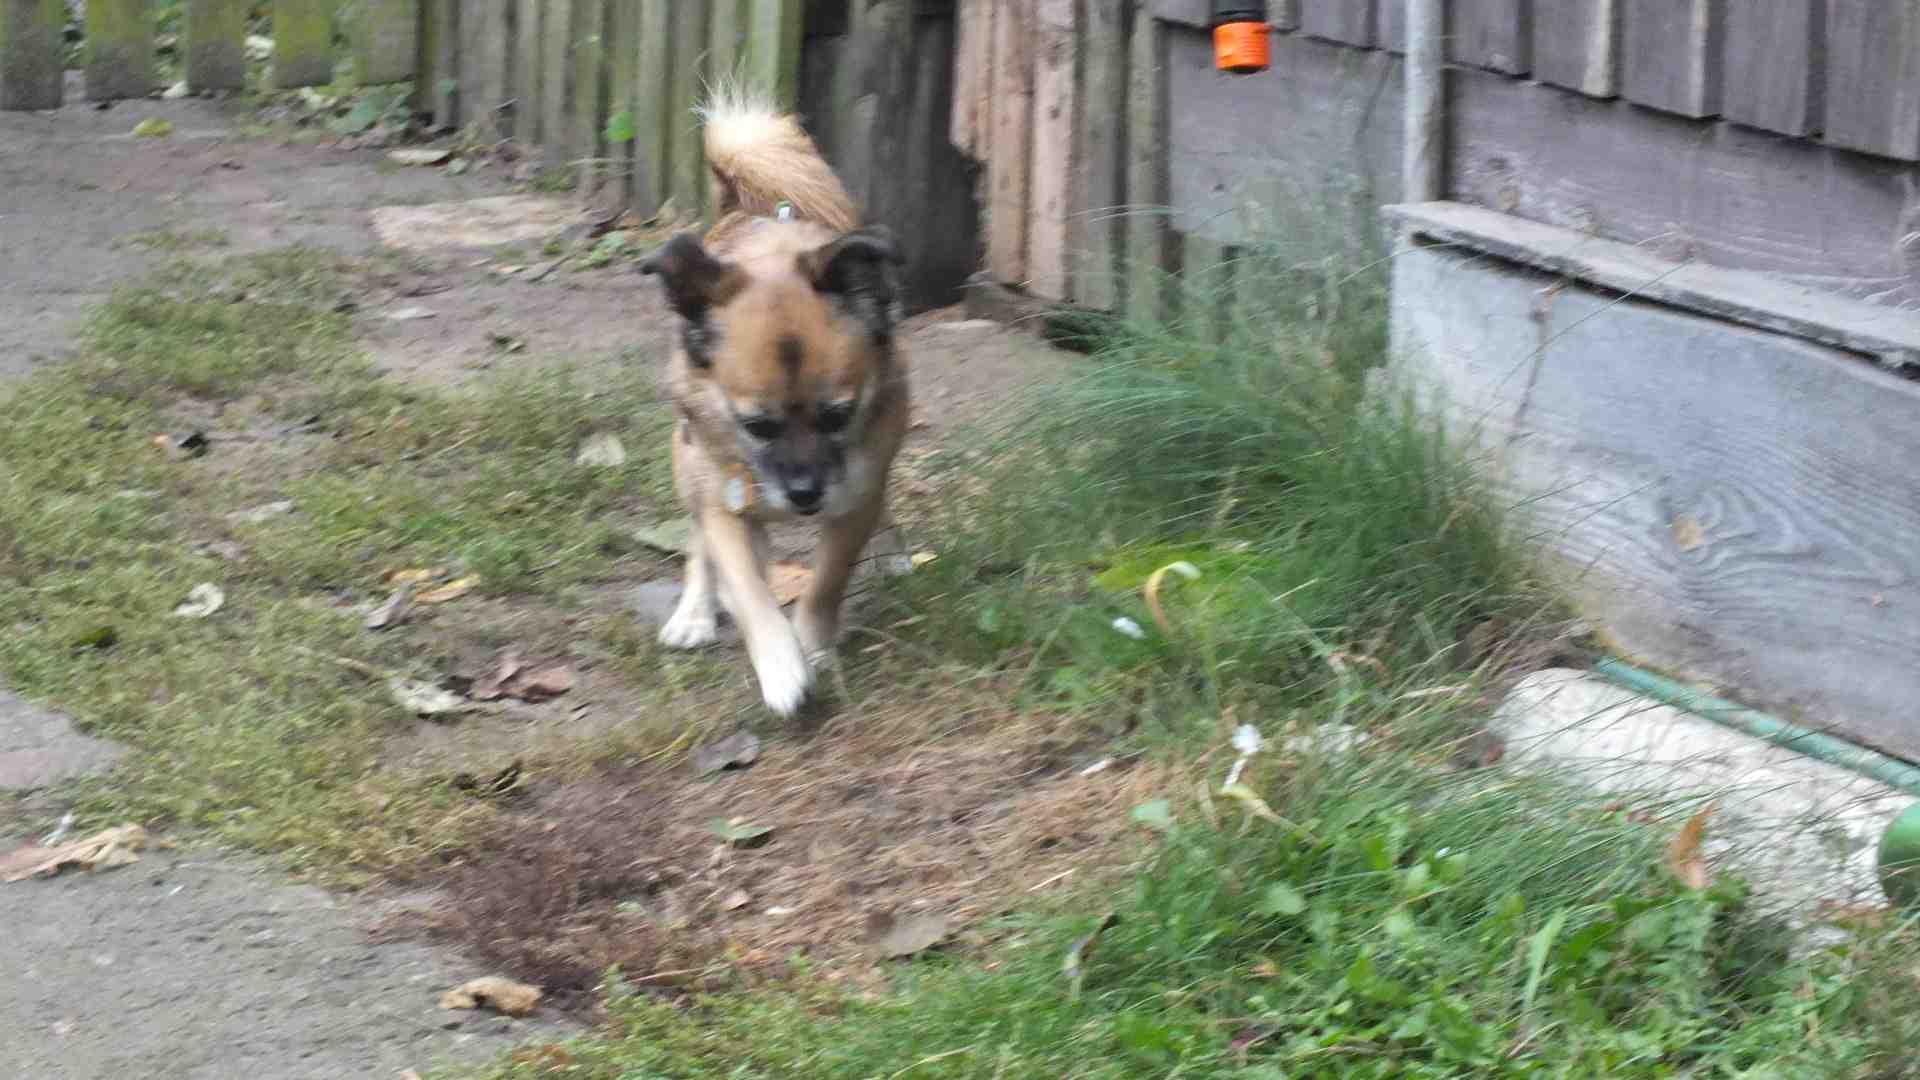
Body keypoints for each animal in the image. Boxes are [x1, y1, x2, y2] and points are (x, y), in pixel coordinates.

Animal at [639, 90, 911, 717]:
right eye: (756, 425)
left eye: (838, 416)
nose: (805, 496)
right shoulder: (724, 506)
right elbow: (747, 588)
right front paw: (783, 667)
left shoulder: (856, 498)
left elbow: (826, 582)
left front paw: (811, 647)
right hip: (686, 459)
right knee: (699, 544)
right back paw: (693, 613)